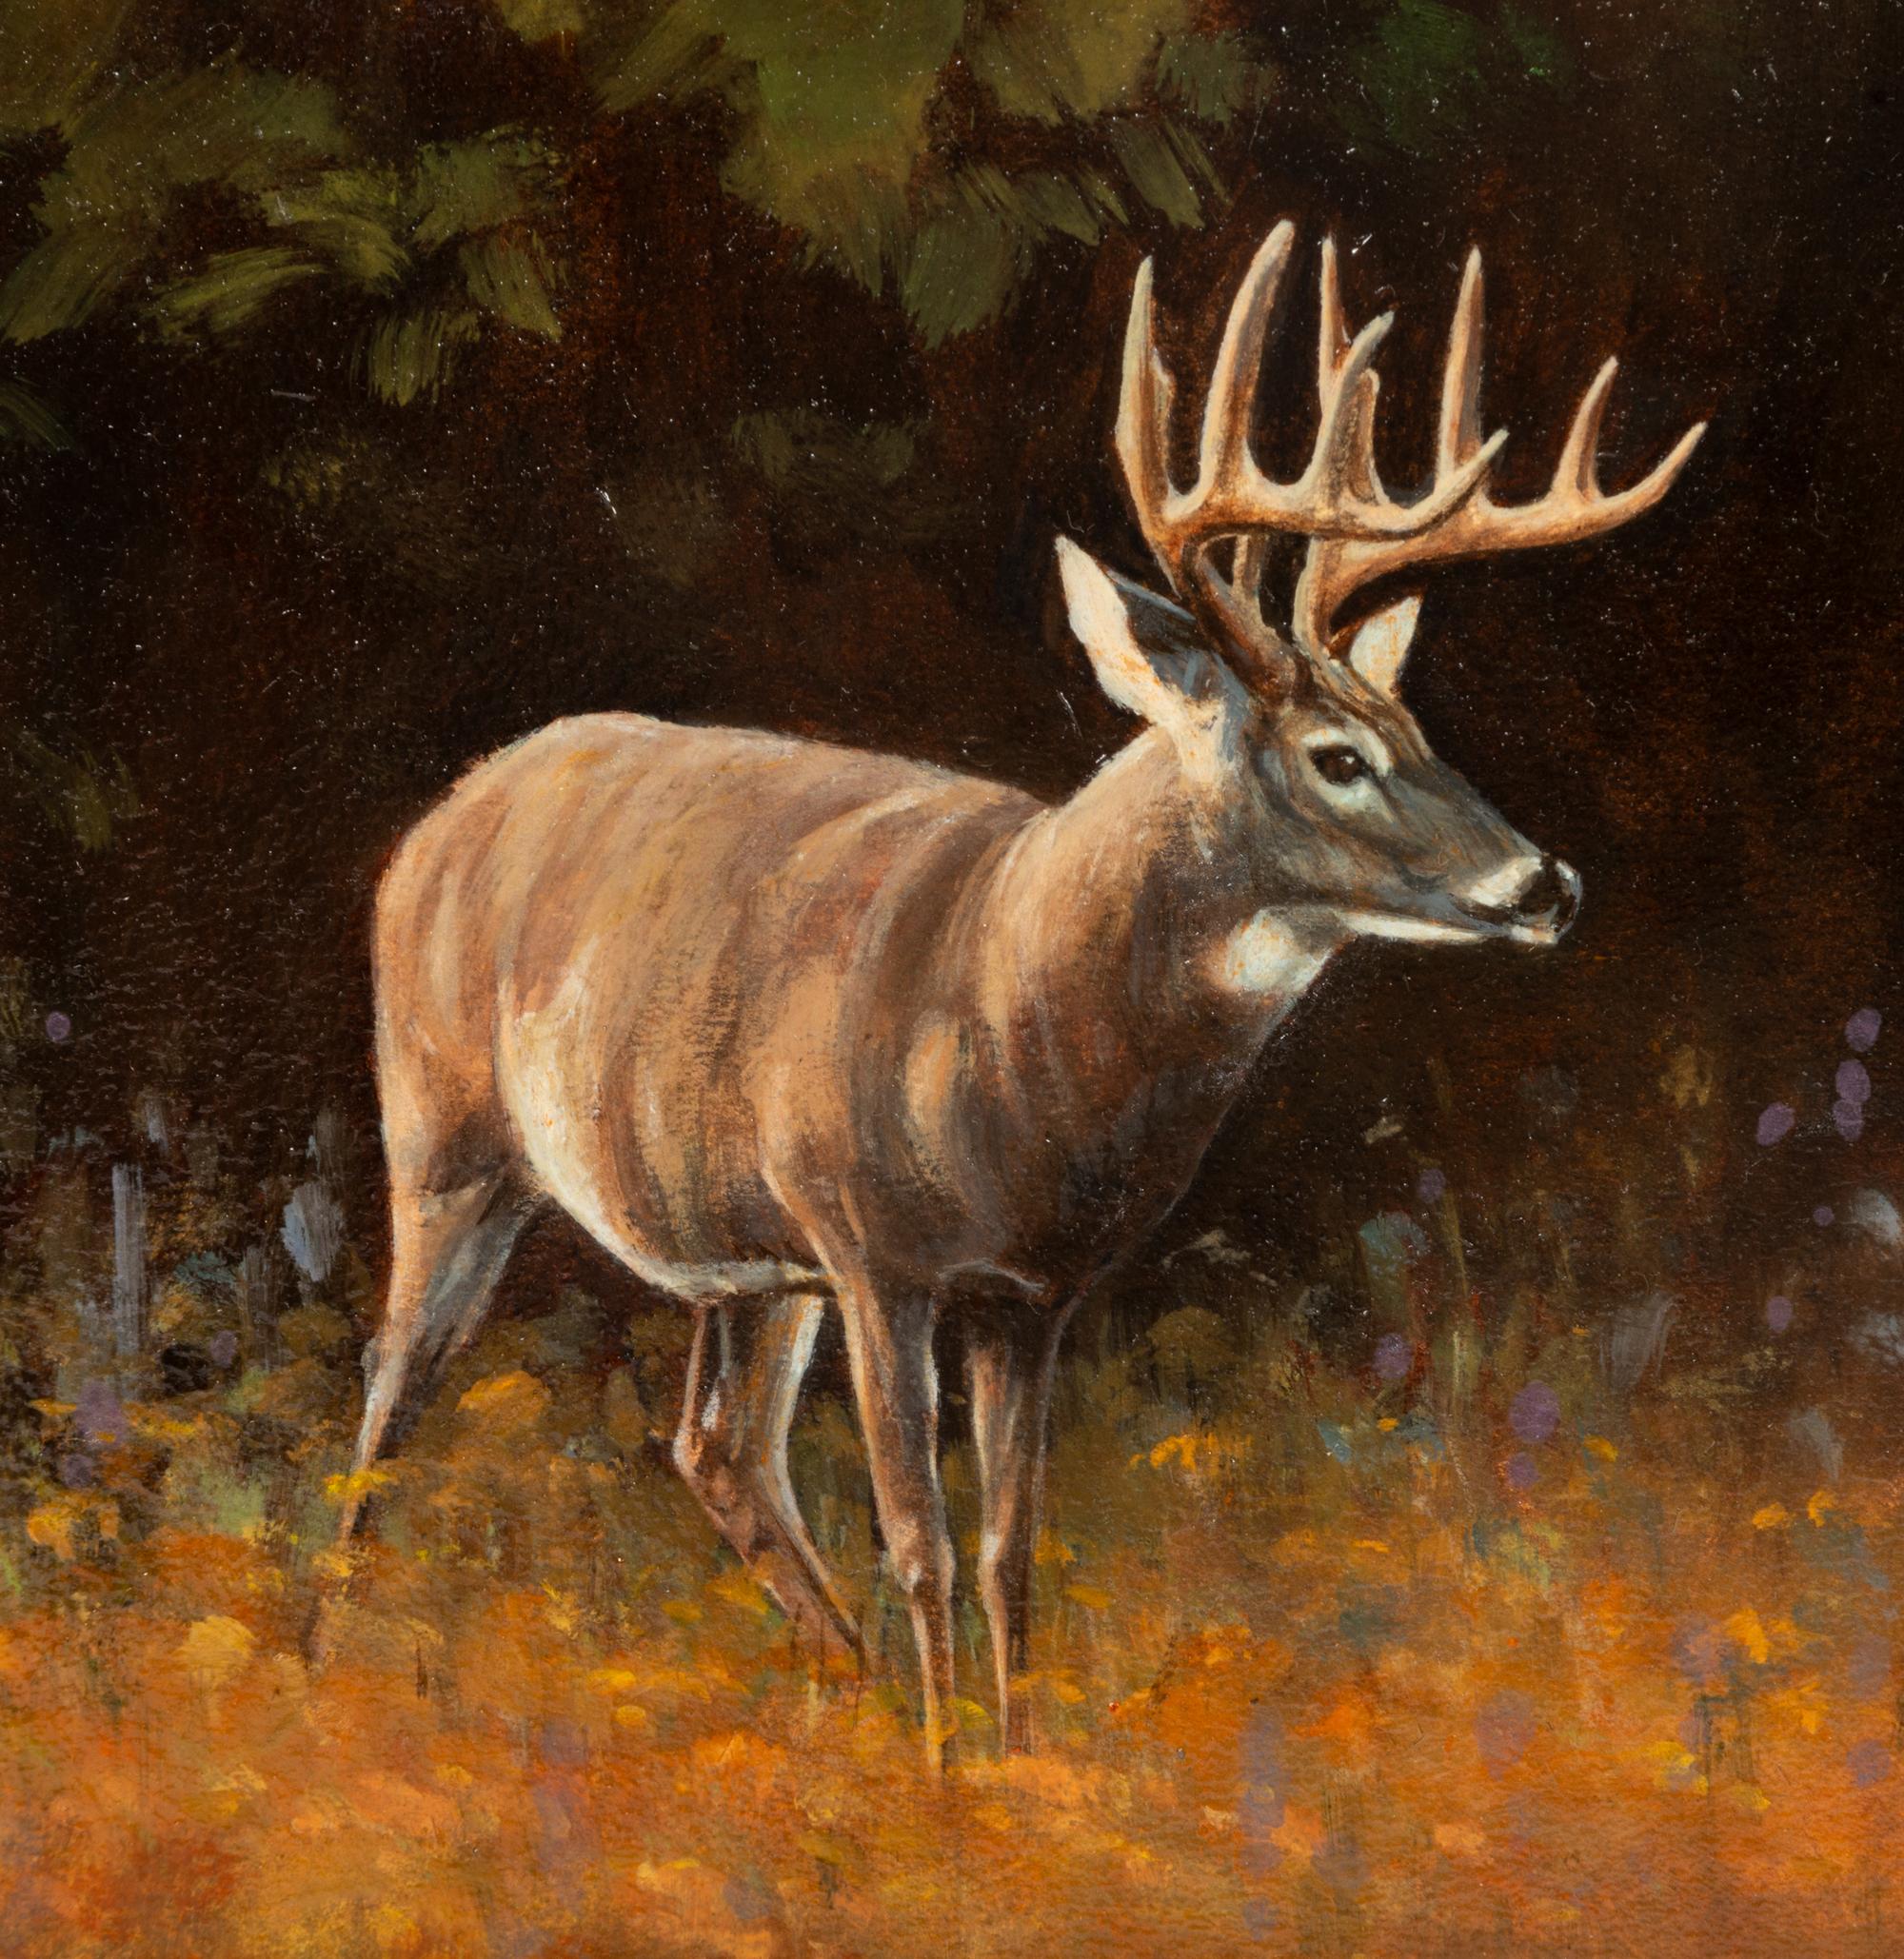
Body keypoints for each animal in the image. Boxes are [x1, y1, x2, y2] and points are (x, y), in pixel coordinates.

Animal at [332, 221, 1702, 1768]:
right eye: (1339, 756)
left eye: (1419, 727)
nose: (1546, 884)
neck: (1017, 1032)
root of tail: (438, 819)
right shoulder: (874, 1247)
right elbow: (921, 1539)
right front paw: (945, 1772)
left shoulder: (1031, 1291)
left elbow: (1010, 1545)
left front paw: (1020, 1754)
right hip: (448, 1131)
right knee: (390, 1386)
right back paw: (334, 1658)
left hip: (741, 1248)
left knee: (718, 1449)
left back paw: (849, 1686)